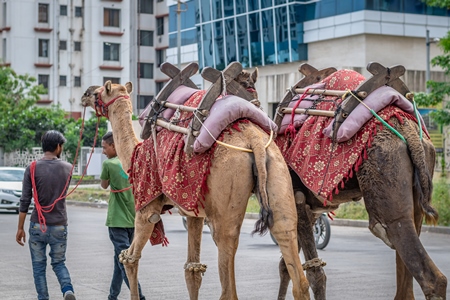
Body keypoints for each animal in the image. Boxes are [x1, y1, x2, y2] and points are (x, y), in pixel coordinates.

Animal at [81, 78, 312, 300]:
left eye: (99, 92)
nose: (84, 94)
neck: (134, 154)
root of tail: (253, 139)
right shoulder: (193, 212)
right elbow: (192, 269)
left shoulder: (147, 207)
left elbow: (130, 258)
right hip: (277, 171)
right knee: (291, 252)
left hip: (227, 191)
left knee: (228, 278)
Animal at [274, 64, 446, 298]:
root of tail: (408, 131)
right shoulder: (311, 209)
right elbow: (287, 265)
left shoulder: (296, 200)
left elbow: (312, 272)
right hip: (418, 192)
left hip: (388, 197)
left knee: (428, 274)